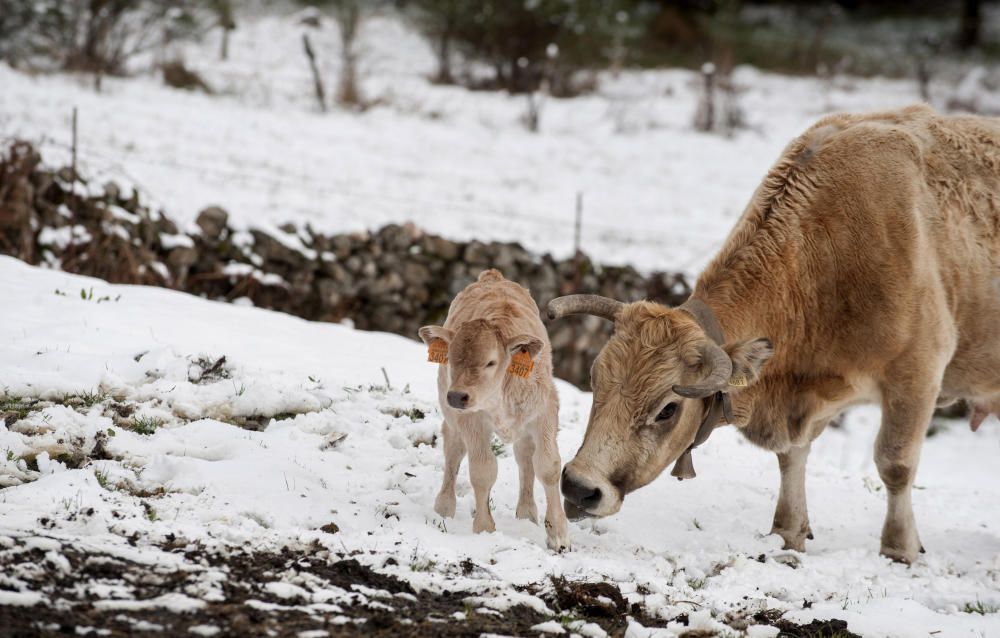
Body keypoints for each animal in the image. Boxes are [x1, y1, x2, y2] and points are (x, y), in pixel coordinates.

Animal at [416, 268, 572, 552]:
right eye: (451, 358)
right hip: (451, 415)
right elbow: (483, 470)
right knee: (453, 451)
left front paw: (558, 535)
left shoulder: (544, 411)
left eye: (490, 362)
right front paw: (484, 528)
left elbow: (548, 466)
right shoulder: (470, 420)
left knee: (525, 456)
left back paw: (527, 514)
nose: (457, 395)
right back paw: (444, 508)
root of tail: (492, 276)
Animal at [552, 106, 1000, 564]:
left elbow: (895, 464)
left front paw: (899, 549)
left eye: (667, 410)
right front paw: (788, 532)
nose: (579, 487)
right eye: (595, 380)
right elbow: (791, 458)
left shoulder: (917, 375)